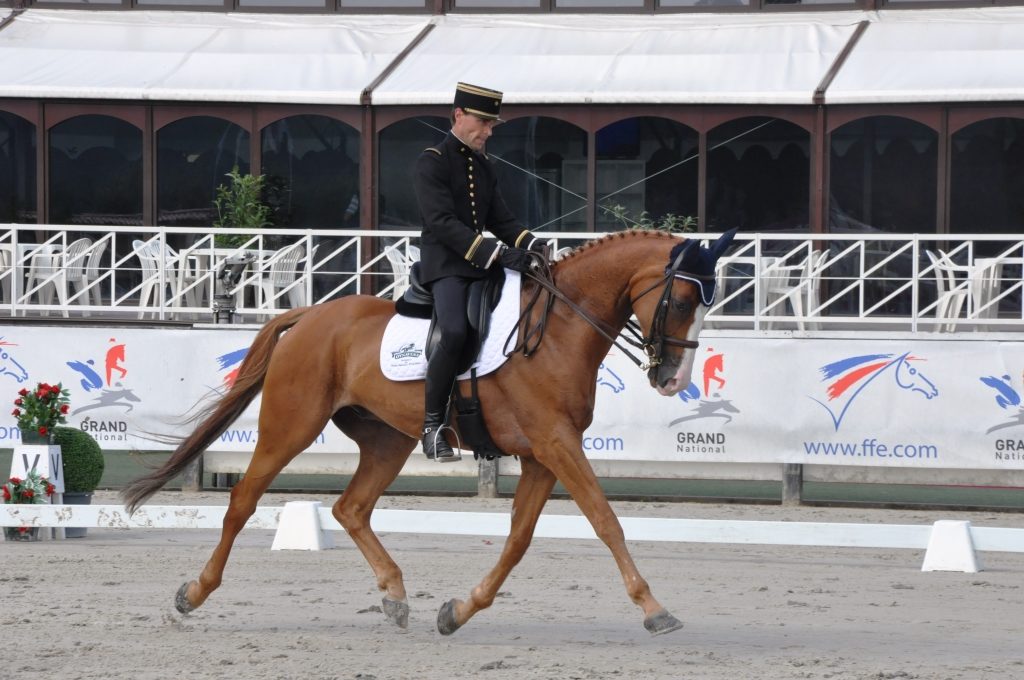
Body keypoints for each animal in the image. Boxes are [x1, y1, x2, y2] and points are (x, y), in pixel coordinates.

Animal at [123, 229, 737, 639]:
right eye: (683, 301)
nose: (672, 379)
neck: (559, 328)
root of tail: (309, 318)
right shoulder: (556, 445)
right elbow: (608, 522)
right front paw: (654, 609)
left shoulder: (542, 456)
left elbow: (518, 541)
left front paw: (458, 611)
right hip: (290, 425)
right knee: (244, 501)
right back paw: (193, 593)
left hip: (387, 439)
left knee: (350, 508)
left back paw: (395, 596)